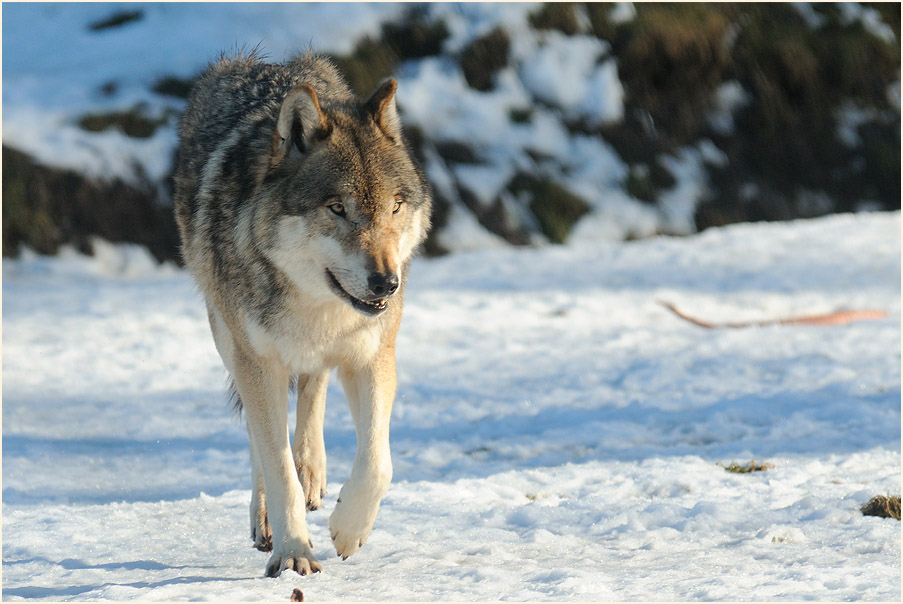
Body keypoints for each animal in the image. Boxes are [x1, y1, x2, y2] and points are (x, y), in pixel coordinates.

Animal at [173, 51, 432, 577]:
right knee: (261, 438)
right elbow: (276, 467)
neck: (315, 306)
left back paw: (312, 470)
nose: (387, 284)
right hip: (227, 339)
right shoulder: (257, 362)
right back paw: (267, 518)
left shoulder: (372, 354)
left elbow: (378, 463)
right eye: (337, 208)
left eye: (395, 207)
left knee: (314, 386)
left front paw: (348, 530)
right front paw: (293, 550)